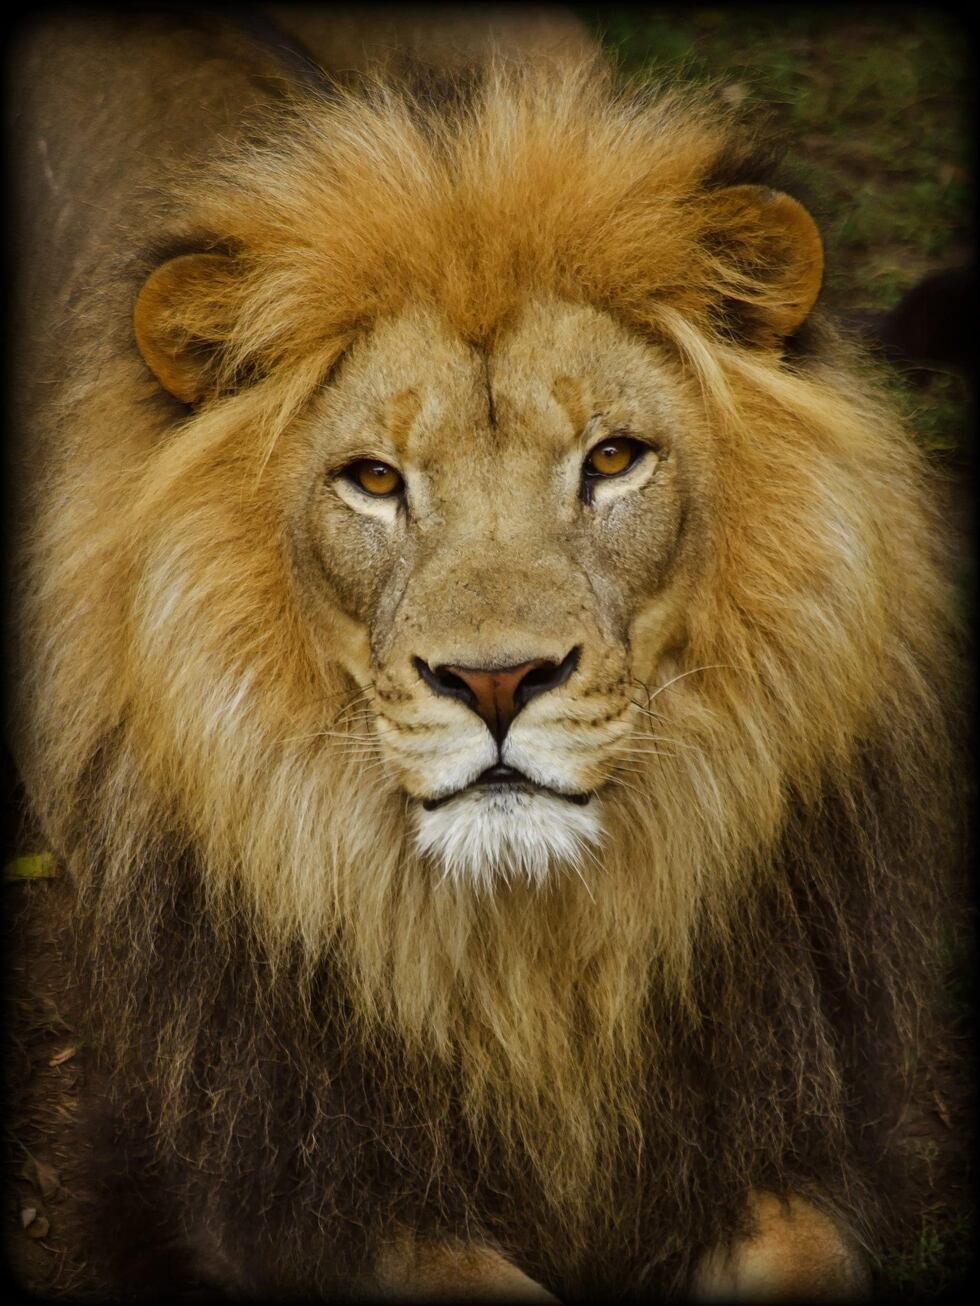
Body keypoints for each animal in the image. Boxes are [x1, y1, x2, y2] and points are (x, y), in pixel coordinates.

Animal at [7, 7, 961, 1300]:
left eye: (610, 459)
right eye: (372, 479)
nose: (496, 681)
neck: (527, 951)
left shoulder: (795, 1124)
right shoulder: (260, 1177)